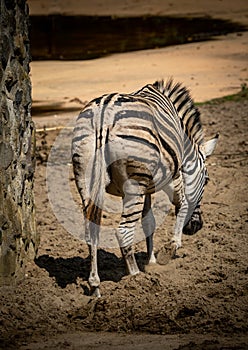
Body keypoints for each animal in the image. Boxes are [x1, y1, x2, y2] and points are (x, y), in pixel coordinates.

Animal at [71, 78, 217, 296]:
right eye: (206, 180)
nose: (196, 228)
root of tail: (103, 116)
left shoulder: (148, 187)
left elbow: (149, 222)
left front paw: (152, 261)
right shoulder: (174, 176)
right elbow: (182, 204)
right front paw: (172, 248)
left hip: (85, 177)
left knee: (91, 231)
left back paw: (95, 286)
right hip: (135, 185)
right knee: (123, 231)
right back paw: (135, 277)